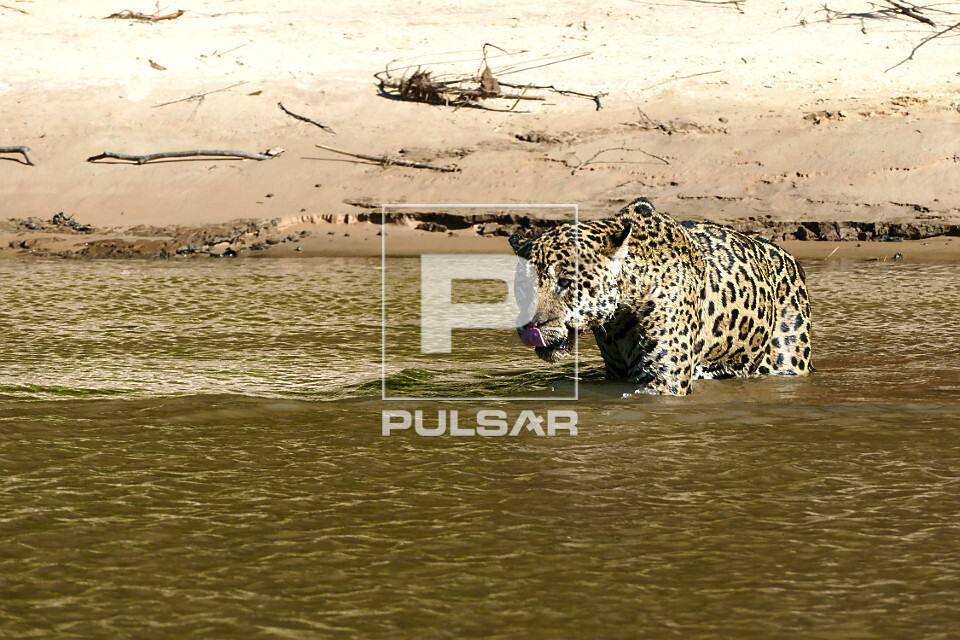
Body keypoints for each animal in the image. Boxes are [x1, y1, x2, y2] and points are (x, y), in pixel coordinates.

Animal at [509, 197, 812, 396]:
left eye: (565, 282)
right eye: (523, 288)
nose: (531, 326)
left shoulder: (664, 380)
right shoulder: (617, 375)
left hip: (788, 360)